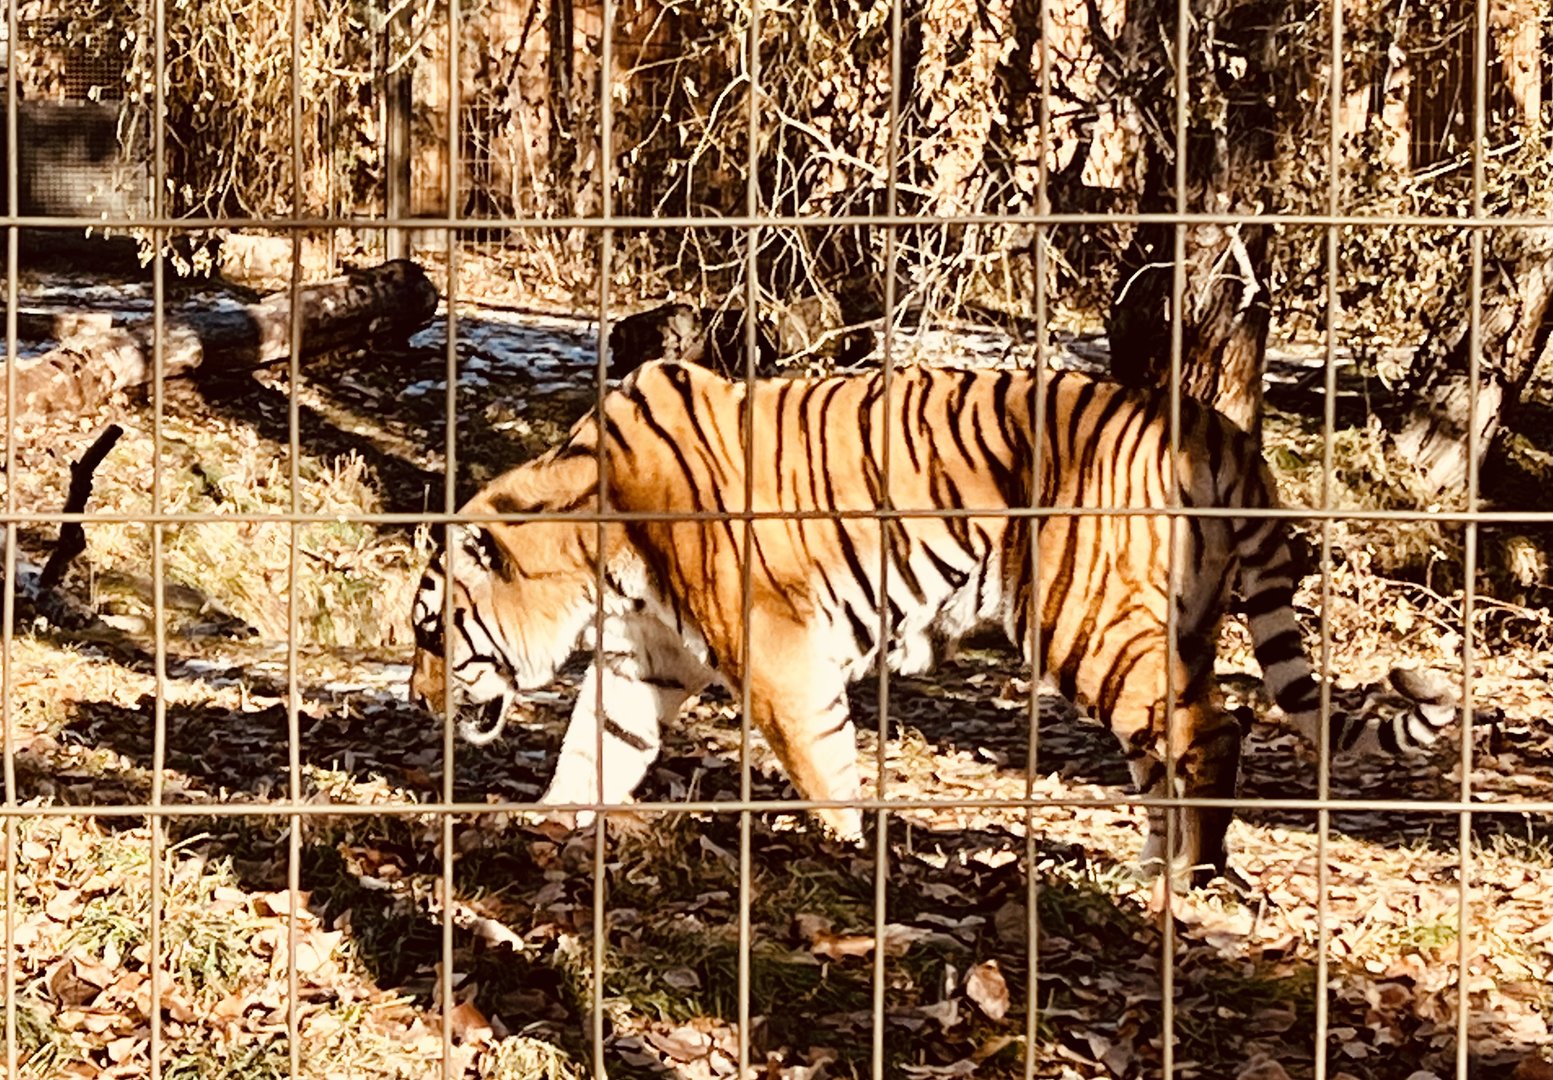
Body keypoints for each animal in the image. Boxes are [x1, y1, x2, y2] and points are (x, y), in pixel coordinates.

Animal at [408, 360, 1457, 885]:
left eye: (428, 633)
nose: (416, 701)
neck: (592, 563)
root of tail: (1223, 429)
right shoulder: (643, 663)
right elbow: (593, 748)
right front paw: (544, 828)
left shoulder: (777, 651)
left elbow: (822, 764)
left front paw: (849, 858)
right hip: (1162, 632)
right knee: (1170, 743)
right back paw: (1154, 868)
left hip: (1082, 620)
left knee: (1212, 731)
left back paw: (1183, 882)